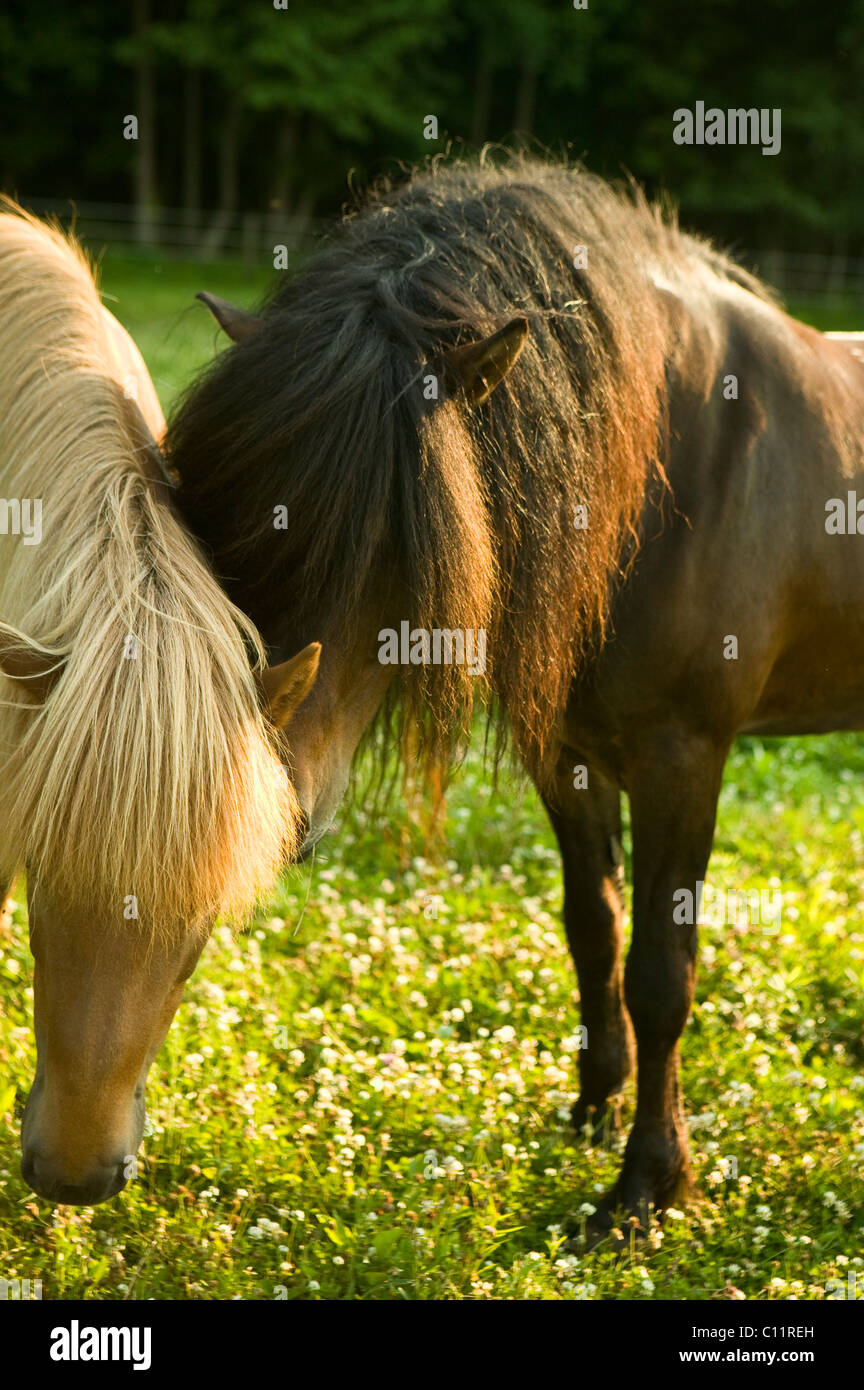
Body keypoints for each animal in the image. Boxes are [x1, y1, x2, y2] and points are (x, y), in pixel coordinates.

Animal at [165, 154, 864, 1239]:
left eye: (403, 545)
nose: (261, 807)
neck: (668, 470)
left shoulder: (683, 757)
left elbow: (662, 971)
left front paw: (646, 1188)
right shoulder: (568, 753)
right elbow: (594, 931)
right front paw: (593, 1107)